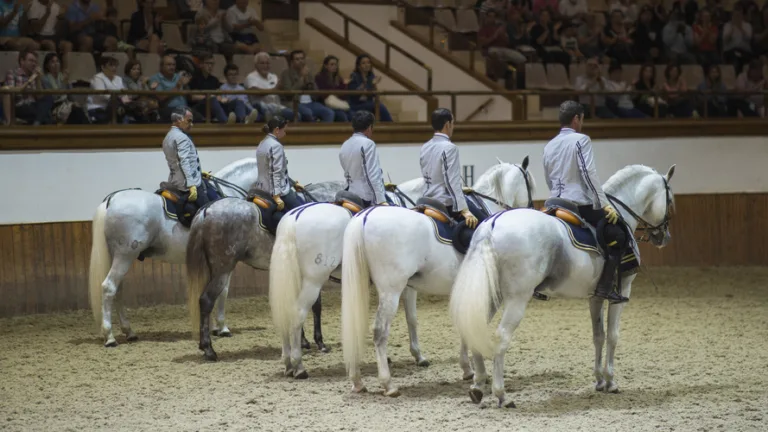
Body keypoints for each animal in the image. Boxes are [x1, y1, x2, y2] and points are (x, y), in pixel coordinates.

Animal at [88, 157, 260, 346]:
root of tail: (111, 199)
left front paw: (215, 327)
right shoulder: (226, 261)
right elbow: (223, 291)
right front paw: (223, 328)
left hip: (118, 257)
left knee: (117, 291)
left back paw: (129, 331)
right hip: (124, 256)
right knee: (108, 287)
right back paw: (110, 337)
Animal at [342, 157, 536, 396]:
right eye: (530, 185)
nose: (532, 209)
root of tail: (365, 216)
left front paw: (467, 369)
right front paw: (472, 371)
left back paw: (357, 381)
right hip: (390, 291)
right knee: (379, 331)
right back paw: (388, 384)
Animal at [448, 163, 676, 408]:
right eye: (670, 199)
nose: (663, 237)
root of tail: (492, 224)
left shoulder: (596, 296)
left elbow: (598, 335)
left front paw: (599, 381)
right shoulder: (622, 291)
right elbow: (613, 336)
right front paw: (611, 381)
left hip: (492, 296)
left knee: (475, 328)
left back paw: (478, 385)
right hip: (517, 299)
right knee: (501, 337)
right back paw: (501, 395)